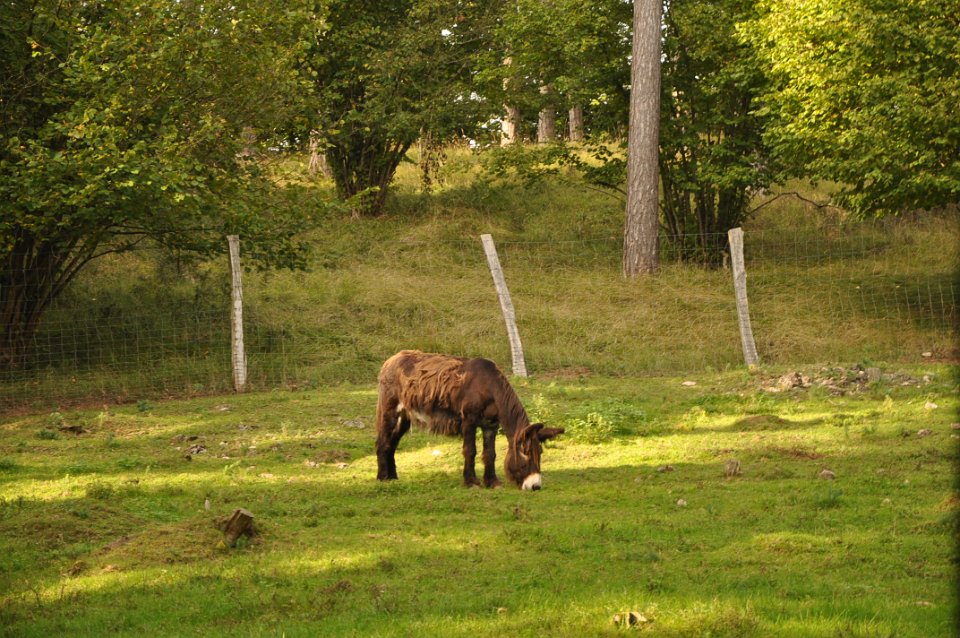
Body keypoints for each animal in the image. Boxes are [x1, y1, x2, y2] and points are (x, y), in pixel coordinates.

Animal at [375, 350, 564, 490]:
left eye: (540, 452)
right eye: (525, 453)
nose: (535, 486)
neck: (490, 388)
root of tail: (392, 359)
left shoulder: (491, 425)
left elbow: (490, 453)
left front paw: (492, 482)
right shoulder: (469, 421)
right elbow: (470, 450)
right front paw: (471, 482)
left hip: (405, 417)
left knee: (392, 443)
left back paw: (393, 477)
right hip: (390, 411)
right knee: (383, 442)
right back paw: (382, 478)